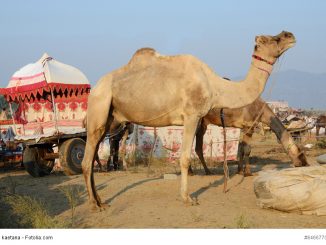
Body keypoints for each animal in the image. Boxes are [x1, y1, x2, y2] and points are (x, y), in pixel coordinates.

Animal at [81, 30, 296, 210]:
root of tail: (96, 87)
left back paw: (100, 201)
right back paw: (93, 204)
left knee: (93, 156)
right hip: (99, 105)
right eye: (270, 39)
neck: (215, 85)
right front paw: (187, 198)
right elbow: (184, 157)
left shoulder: (196, 118)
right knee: (86, 160)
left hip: (109, 118)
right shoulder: (192, 116)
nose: (289, 34)